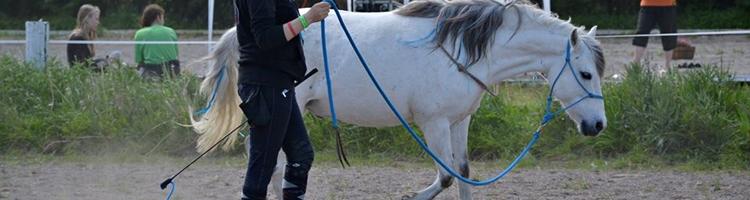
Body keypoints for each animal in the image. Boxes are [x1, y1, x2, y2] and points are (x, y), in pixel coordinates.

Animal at [191, 0, 608, 199]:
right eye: (586, 74)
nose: (598, 125)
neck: (462, 49)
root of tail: (237, 36)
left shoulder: (459, 121)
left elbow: (463, 174)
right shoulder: (434, 124)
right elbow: (443, 177)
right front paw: (411, 195)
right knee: (270, 168)